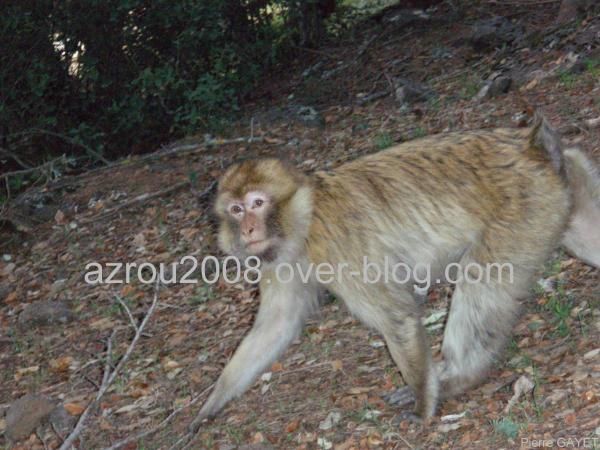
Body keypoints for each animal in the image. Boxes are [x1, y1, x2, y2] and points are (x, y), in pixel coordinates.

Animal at [189, 114, 600, 430]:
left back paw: (459, 378)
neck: (305, 217)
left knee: (482, 282)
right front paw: (210, 406)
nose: (248, 230)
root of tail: (531, 146)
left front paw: (424, 403)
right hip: (560, 191)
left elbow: (397, 317)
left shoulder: (338, 245)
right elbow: (275, 327)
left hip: (522, 209)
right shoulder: (282, 261)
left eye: (257, 203)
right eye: (236, 210)